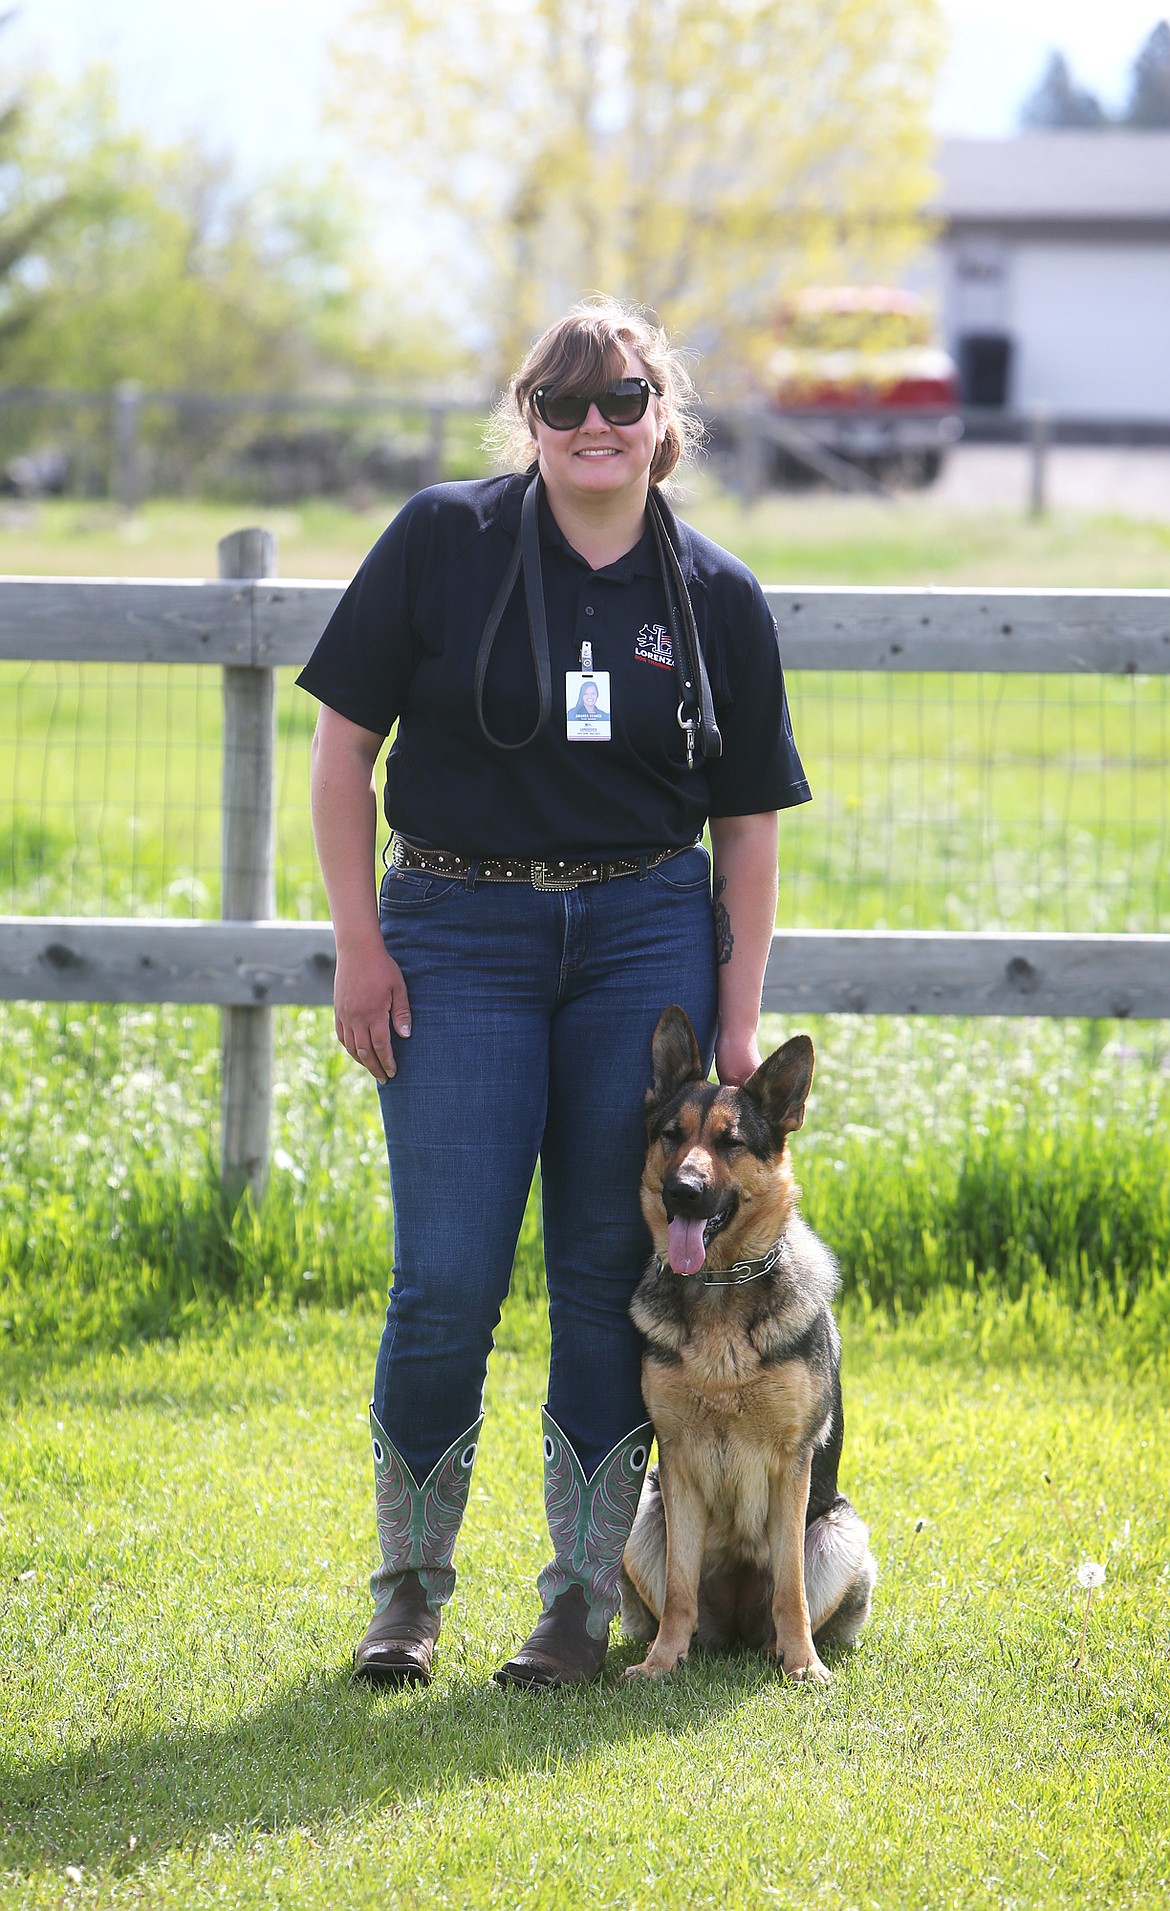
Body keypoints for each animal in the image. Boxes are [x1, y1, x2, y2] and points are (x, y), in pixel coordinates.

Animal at [623, 1009, 879, 1681]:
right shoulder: (677, 1461)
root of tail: (736, 1627)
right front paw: (661, 1664)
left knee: (790, 1599)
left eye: (730, 1142)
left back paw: (778, 1649)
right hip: (643, 1517)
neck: (719, 1286)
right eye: (671, 1135)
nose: (683, 1191)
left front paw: (803, 1666)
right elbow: (679, 1587)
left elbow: (790, 1587)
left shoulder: (792, 1463)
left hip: (841, 1531)